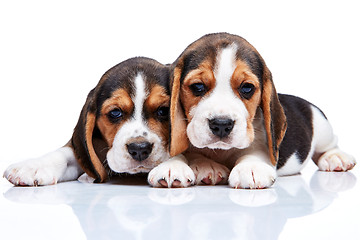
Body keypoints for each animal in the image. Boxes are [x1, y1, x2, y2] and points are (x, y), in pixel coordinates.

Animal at [3, 57, 179, 187]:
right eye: (115, 112)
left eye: (163, 111)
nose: (140, 149)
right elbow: (67, 154)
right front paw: (32, 166)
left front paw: (173, 166)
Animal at [165, 32, 356, 189]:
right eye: (197, 86)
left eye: (247, 88)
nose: (221, 124)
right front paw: (203, 164)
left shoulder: (261, 142)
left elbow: (255, 153)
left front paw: (250, 168)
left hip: (322, 127)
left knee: (329, 145)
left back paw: (335, 157)